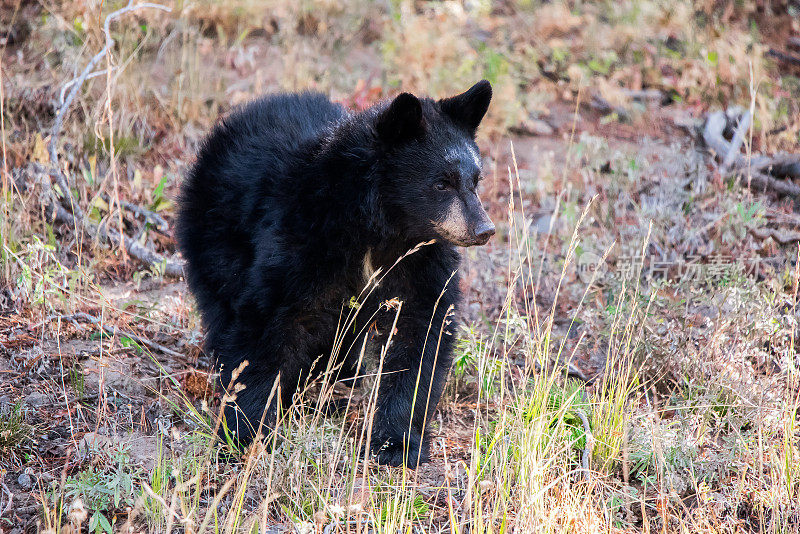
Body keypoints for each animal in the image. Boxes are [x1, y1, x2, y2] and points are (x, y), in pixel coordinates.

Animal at [177, 80, 494, 468]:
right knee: (223, 303)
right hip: (216, 231)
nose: (484, 229)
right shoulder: (304, 234)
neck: (382, 229)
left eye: (475, 180)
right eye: (441, 183)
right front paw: (246, 433)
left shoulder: (421, 259)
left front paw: (397, 443)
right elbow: (267, 321)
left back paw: (343, 374)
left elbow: (421, 332)